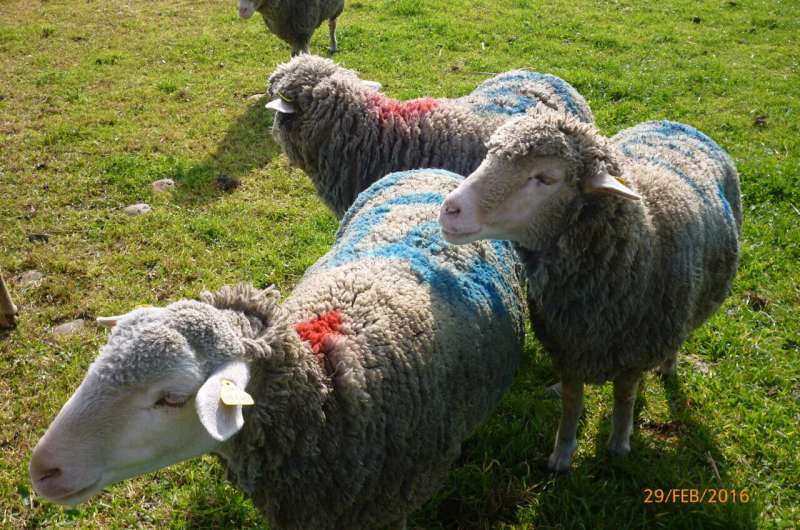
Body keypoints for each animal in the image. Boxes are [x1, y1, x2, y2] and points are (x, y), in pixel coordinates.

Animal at [439, 108, 741, 471]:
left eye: (545, 178)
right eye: (489, 155)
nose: (449, 209)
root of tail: (677, 122)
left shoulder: (634, 352)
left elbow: (624, 398)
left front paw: (618, 445)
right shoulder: (568, 345)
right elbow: (572, 402)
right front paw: (562, 453)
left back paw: (668, 367)